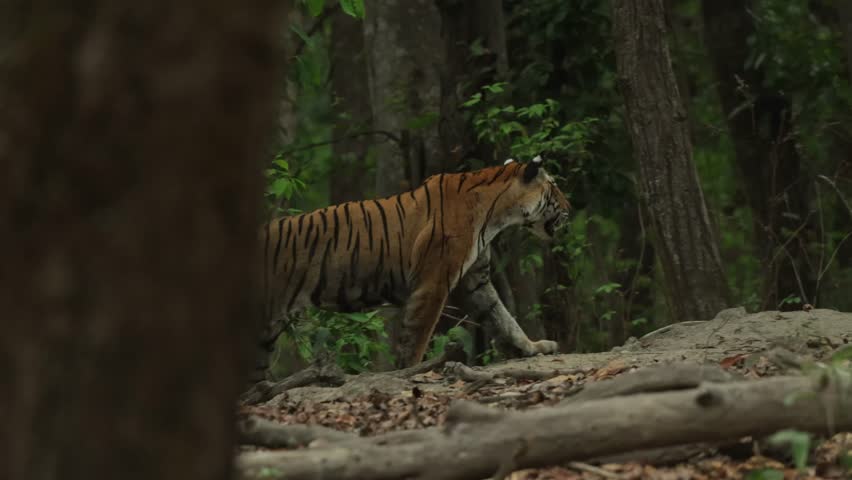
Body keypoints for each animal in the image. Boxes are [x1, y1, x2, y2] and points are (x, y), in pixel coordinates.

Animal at [253, 156, 570, 382]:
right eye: (554, 186)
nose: (570, 208)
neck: (498, 213)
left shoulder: (476, 281)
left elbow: (503, 318)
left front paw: (533, 347)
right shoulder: (434, 282)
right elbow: (417, 335)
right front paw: (412, 371)